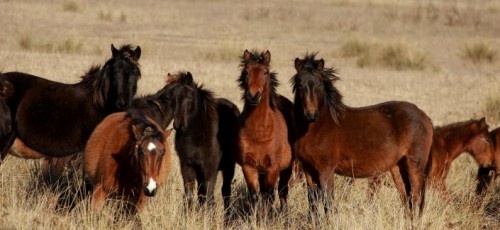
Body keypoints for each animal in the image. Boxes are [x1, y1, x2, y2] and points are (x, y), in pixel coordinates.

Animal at [166, 71, 240, 218]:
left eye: (189, 97)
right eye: (171, 99)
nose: (178, 125)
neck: (197, 135)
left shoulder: (210, 168)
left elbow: (210, 196)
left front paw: (210, 218)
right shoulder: (187, 166)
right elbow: (190, 195)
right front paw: (189, 217)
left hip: (228, 166)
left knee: (225, 191)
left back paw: (227, 217)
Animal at [237, 49, 292, 213]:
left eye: (266, 72)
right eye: (246, 71)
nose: (253, 96)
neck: (259, 132)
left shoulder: (272, 169)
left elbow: (269, 197)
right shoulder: (249, 167)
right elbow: (254, 196)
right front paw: (255, 217)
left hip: (287, 168)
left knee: (282, 192)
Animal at [292, 53, 434, 218]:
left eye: (320, 85)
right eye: (300, 86)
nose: (311, 115)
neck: (317, 128)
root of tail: (424, 116)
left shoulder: (326, 170)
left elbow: (328, 202)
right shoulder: (308, 169)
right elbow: (312, 202)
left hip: (414, 165)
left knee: (416, 199)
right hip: (398, 168)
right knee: (407, 200)